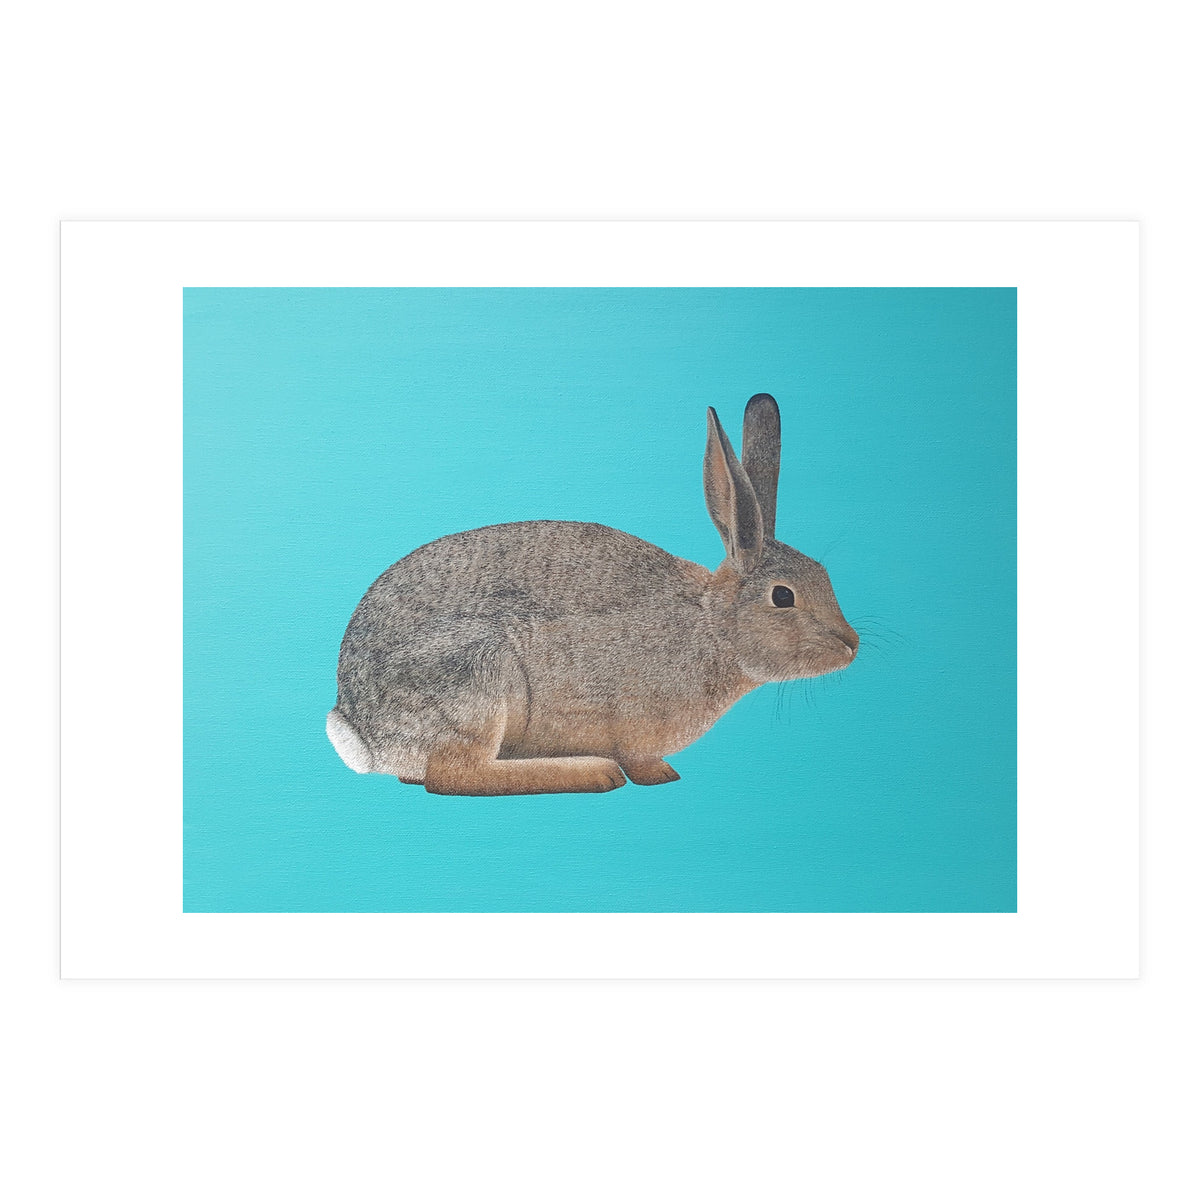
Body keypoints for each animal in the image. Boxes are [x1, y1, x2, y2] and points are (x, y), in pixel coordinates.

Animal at [326, 393, 858, 794]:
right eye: (783, 597)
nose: (851, 645)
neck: (713, 625)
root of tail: (362, 730)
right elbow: (640, 760)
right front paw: (658, 775)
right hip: (476, 674)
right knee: (454, 775)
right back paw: (593, 772)